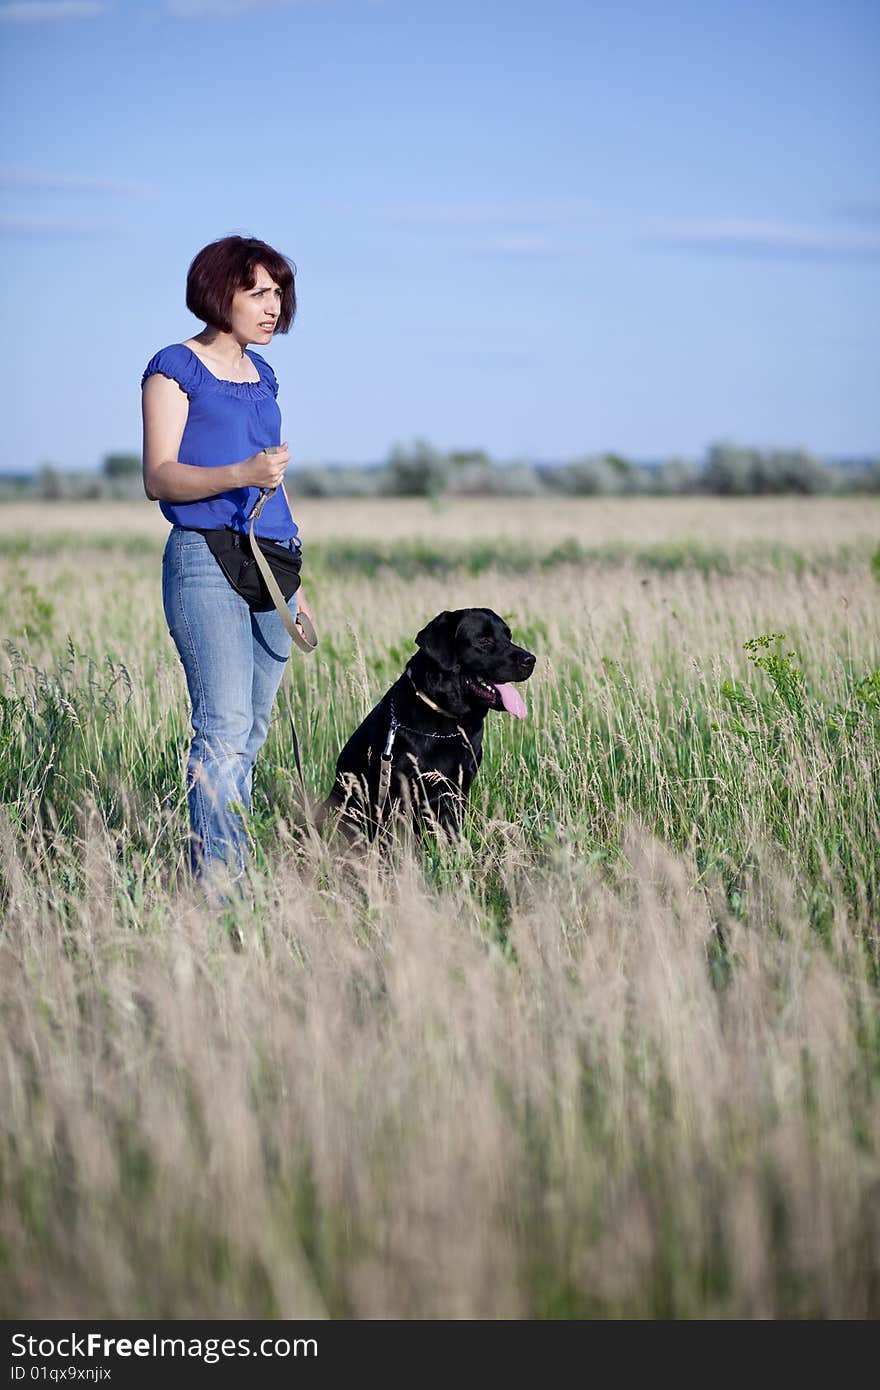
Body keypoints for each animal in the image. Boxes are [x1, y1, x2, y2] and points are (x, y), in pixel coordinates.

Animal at [319, 606, 531, 839]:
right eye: (484, 641)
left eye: (508, 636)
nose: (530, 660)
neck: (447, 723)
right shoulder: (400, 793)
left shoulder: (458, 789)